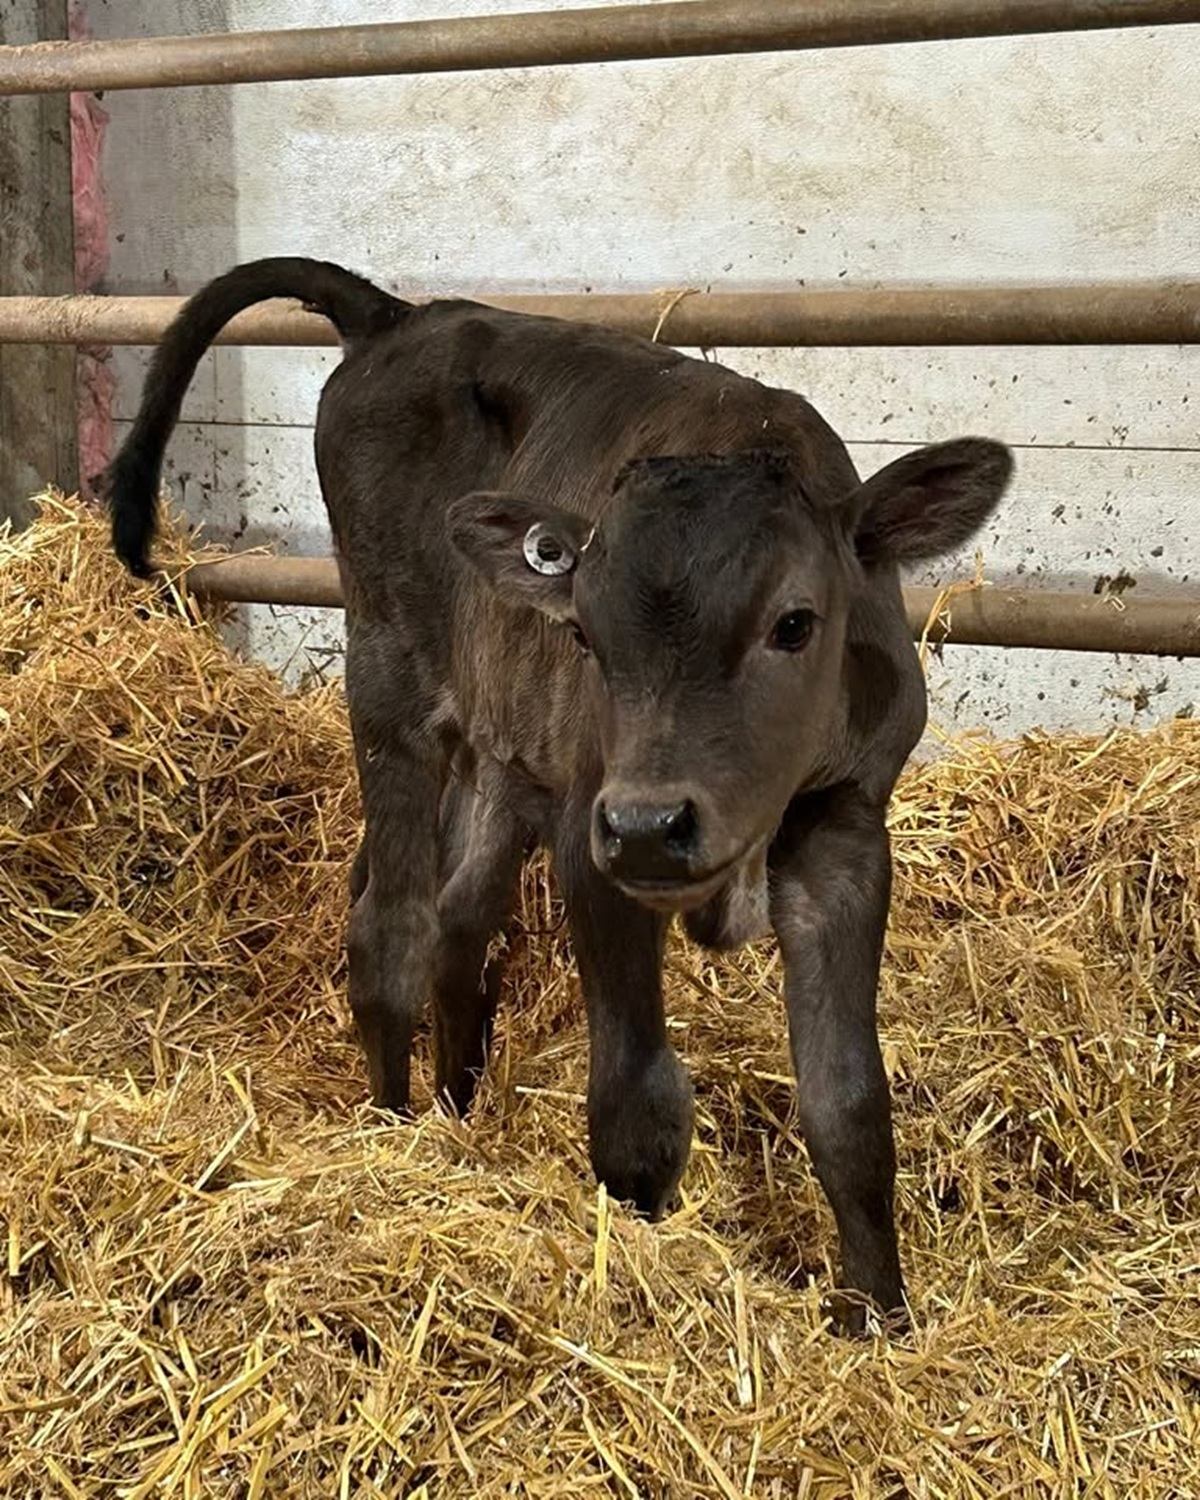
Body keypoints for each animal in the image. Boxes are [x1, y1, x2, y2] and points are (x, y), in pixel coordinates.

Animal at [108, 258, 1013, 1331]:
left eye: (795, 623)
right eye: (585, 633)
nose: (653, 826)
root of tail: (401, 316)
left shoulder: (848, 828)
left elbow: (851, 1105)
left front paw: (879, 1315)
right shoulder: (593, 835)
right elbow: (636, 1104)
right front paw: (642, 1273)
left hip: (497, 751)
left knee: (459, 919)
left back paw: (454, 1108)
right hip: (390, 681)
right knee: (390, 927)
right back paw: (392, 1132)